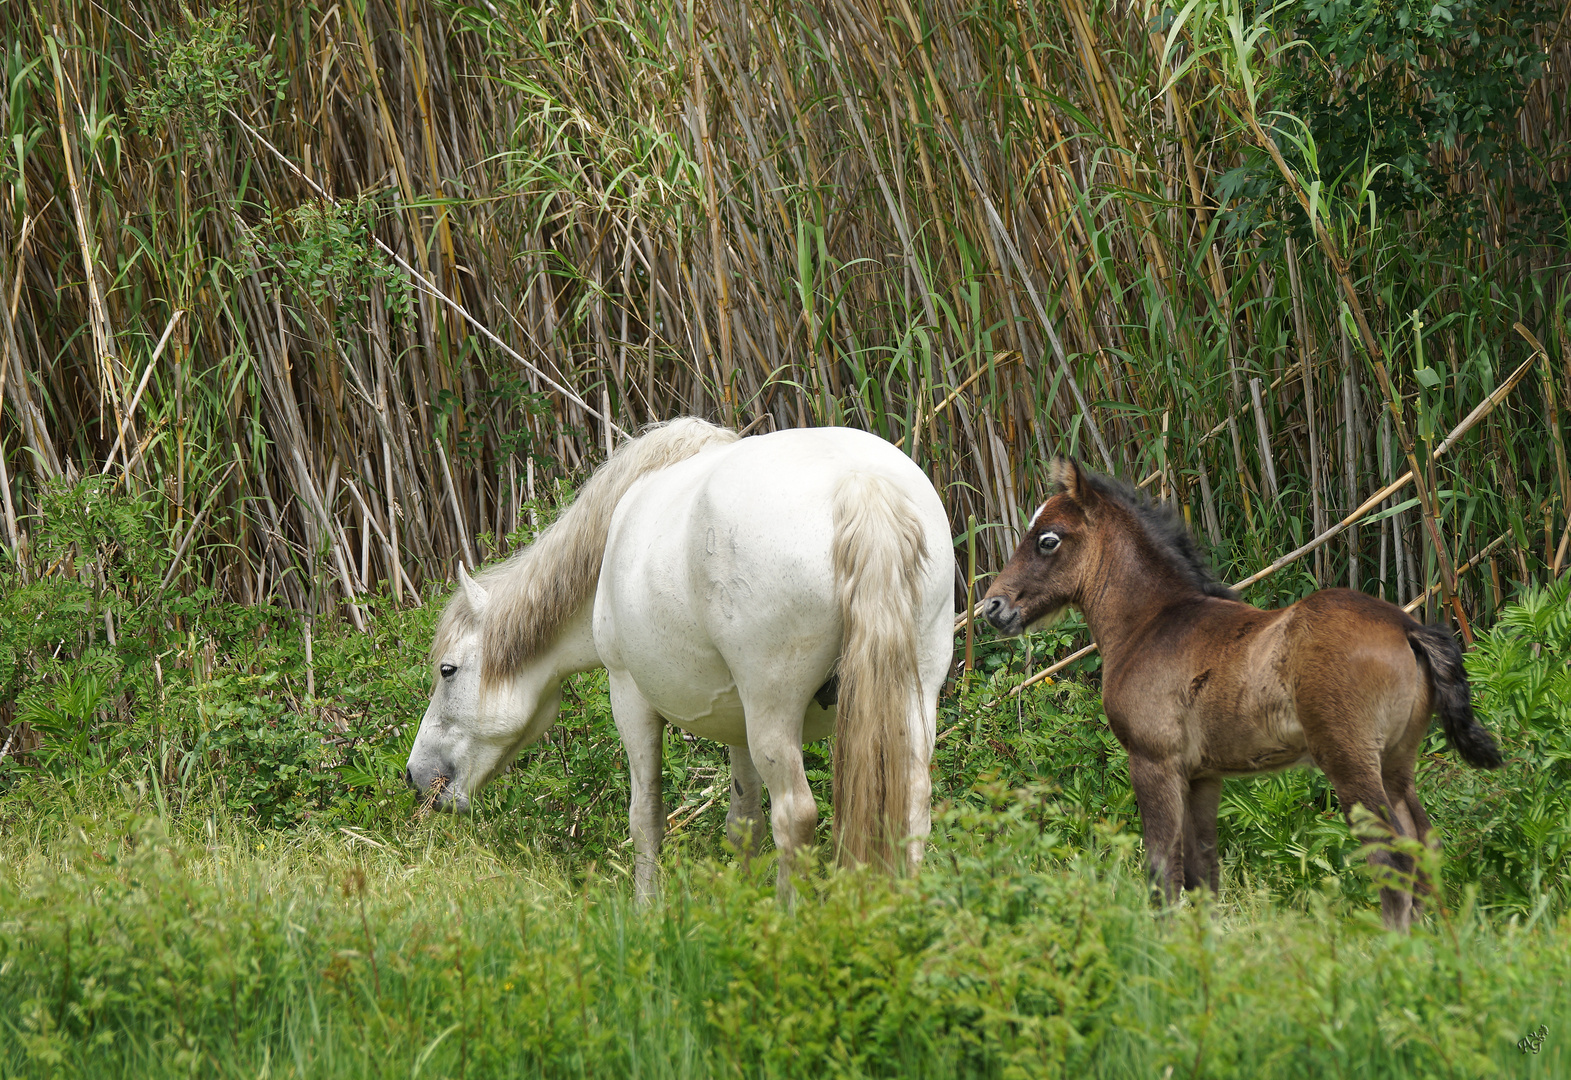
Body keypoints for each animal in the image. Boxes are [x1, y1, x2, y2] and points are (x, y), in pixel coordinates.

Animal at [405, 418, 948, 899]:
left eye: (447, 670)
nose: (414, 776)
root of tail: (860, 483)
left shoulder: (628, 695)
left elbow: (645, 818)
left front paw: (647, 910)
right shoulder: (736, 724)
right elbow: (744, 822)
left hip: (773, 711)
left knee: (795, 815)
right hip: (911, 698)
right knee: (912, 804)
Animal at [980, 459, 1508, 930]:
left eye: (1048, 540)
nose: (992, 607)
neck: (1151, 623)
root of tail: (1406, 627)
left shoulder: (1153, 761)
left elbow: (1163, 869)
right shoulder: (1202, 776)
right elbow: (1204, 871)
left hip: (1350, 760)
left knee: (1391, 855)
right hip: (1396, 762)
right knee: (1423, 846)